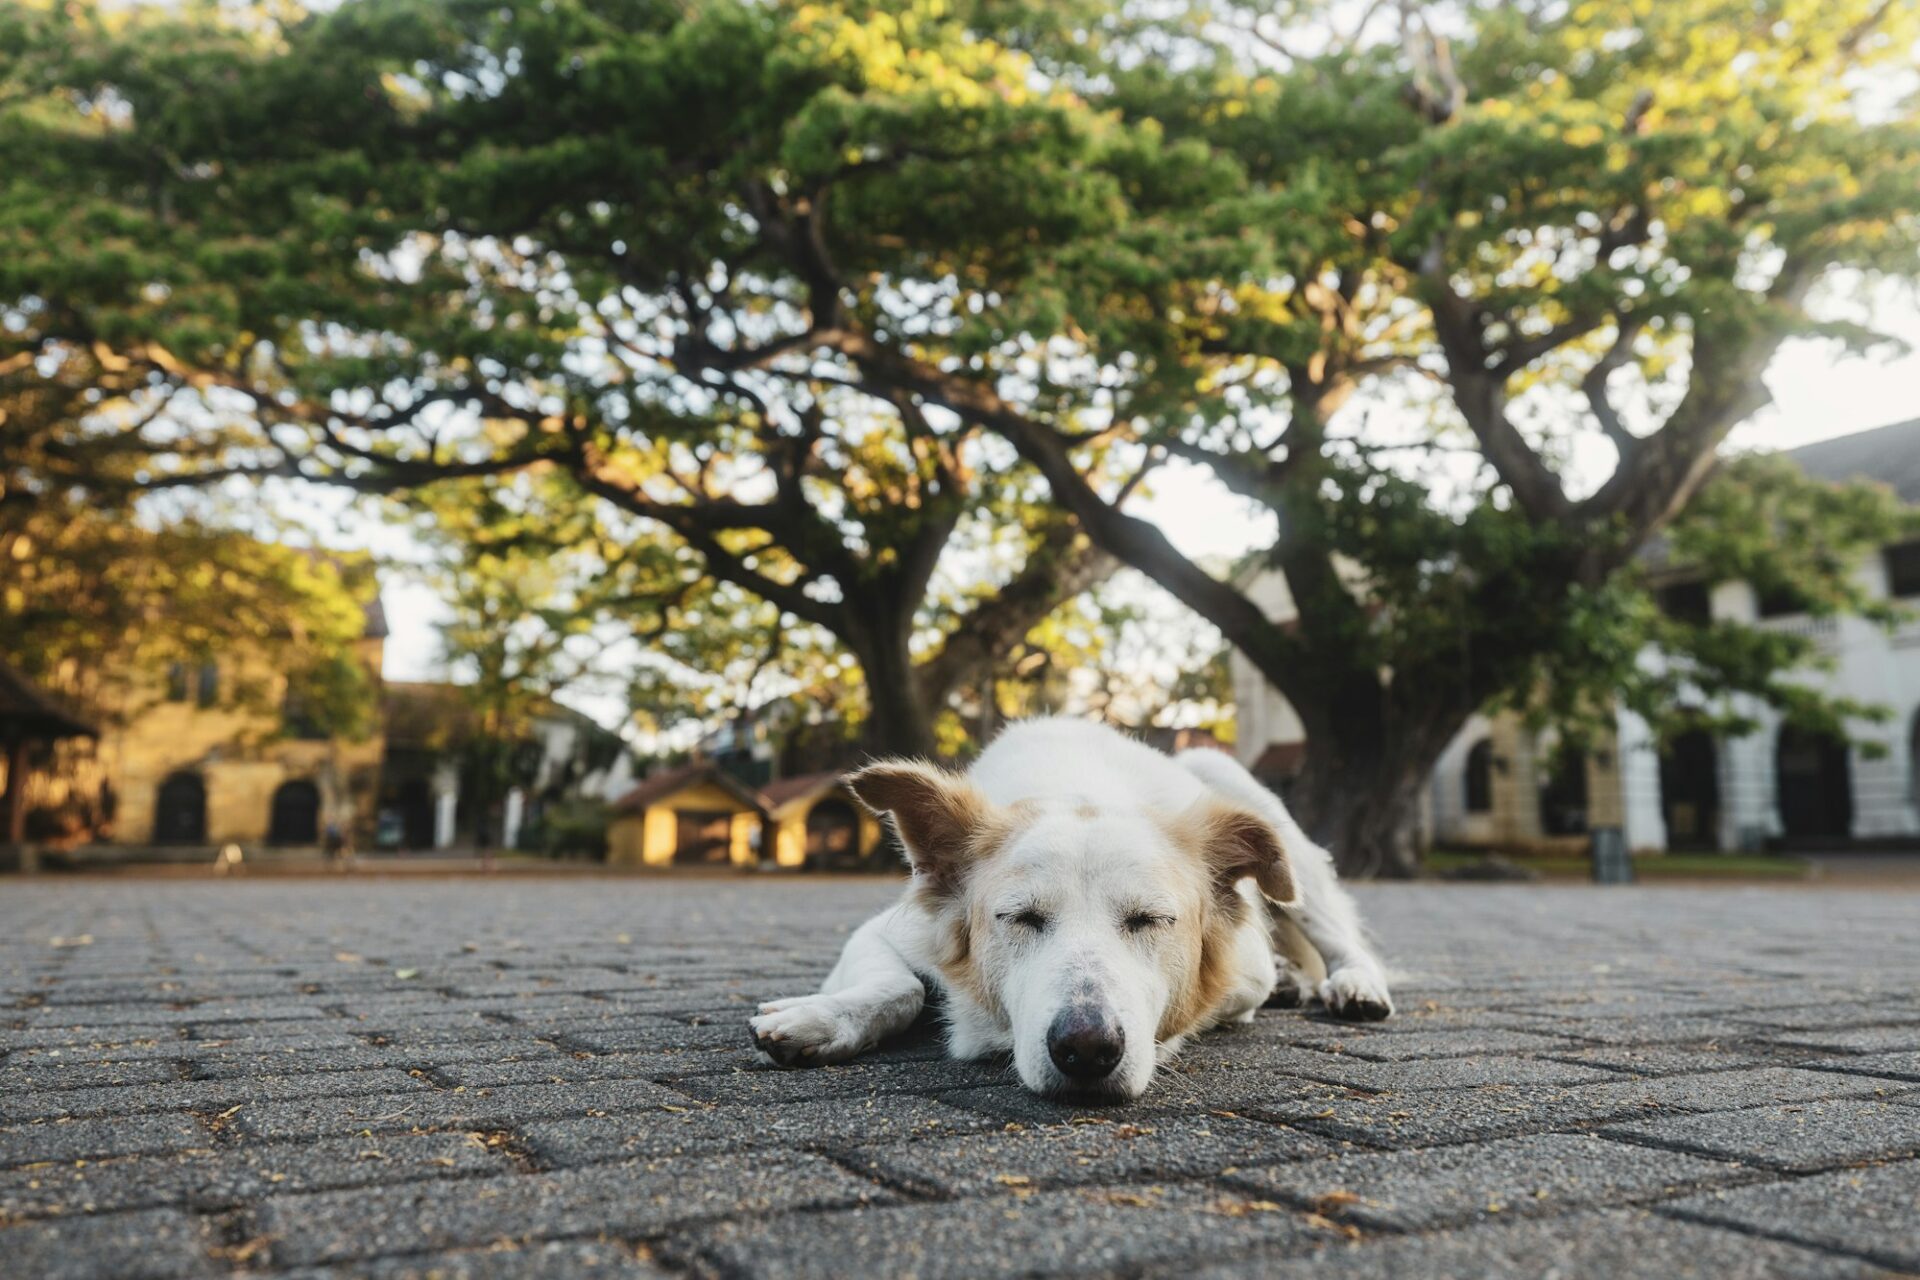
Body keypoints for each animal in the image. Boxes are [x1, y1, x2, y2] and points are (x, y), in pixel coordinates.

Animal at [748, 721, 1397, 1105]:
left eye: (1151, 920)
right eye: (1021, 918)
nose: (1087, 1049)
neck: (1078, 785)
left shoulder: (1244, 970)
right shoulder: (888, 933)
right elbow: (899, 988)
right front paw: (818, 1019)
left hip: (1264, 821)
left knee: (1338, 936)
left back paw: (1355, 985)